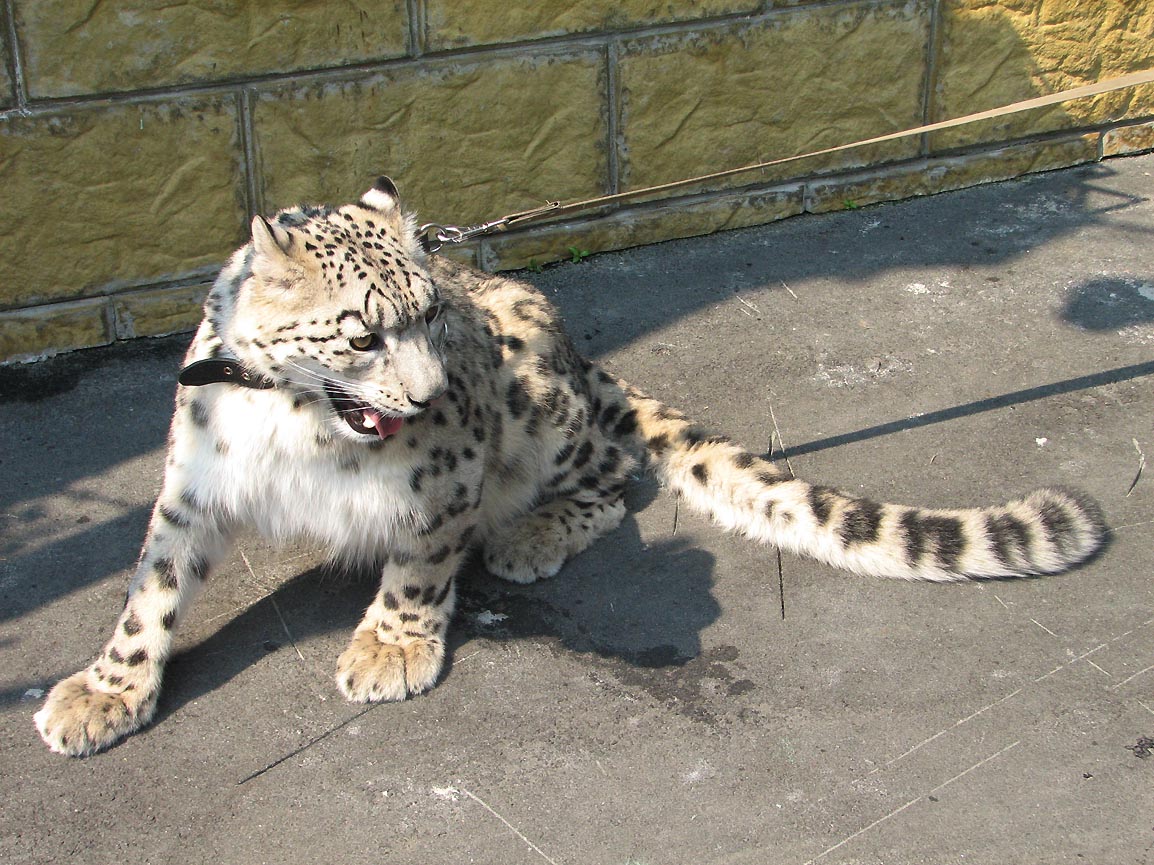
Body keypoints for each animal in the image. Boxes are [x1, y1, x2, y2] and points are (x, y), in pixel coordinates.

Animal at [35, 178, 1106, 756]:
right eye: (363, 334)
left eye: (430, 314)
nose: (428, 393)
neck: (292, 420)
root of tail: (578, 346)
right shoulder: (193, 486)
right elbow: (150, 590)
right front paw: (104, 691)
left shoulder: (447, 468)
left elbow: (421, 562)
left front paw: (390, 646)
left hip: (544, 411)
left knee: (611, 471)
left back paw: (530, 531)